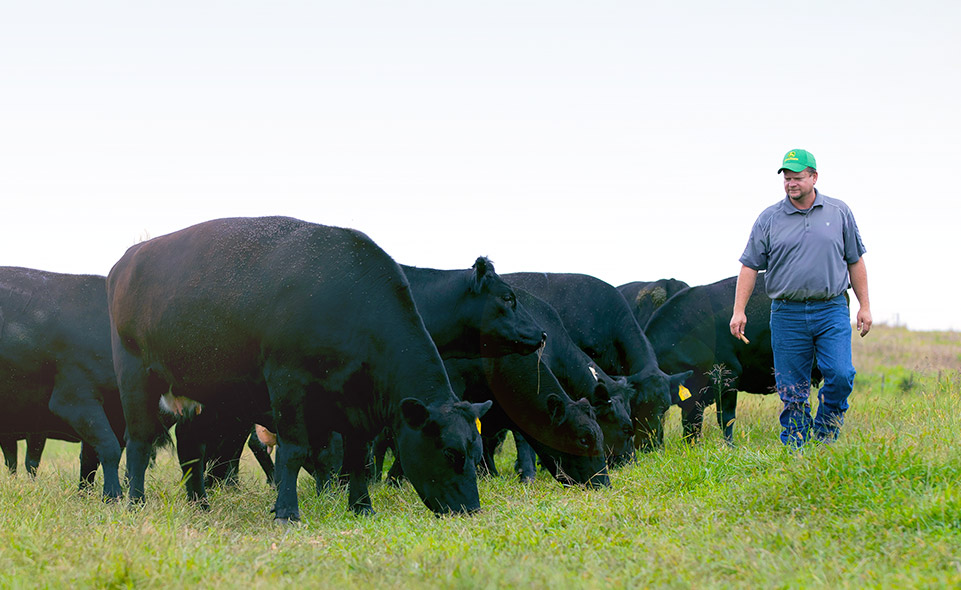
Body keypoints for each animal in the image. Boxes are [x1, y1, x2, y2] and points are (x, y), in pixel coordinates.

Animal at [109, 217, 492, 524]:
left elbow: (360, 458)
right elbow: (293, 452)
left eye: (476, 453)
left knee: (191, 448)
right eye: (450, 453)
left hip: (201, 392)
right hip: (135, 378)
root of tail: (129, 258)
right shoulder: (286, 383)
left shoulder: (357, 407)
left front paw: (362, 507)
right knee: (139, 442)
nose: (471, 510)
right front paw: (286, 512)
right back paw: (135, 503)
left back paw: (200, 505)